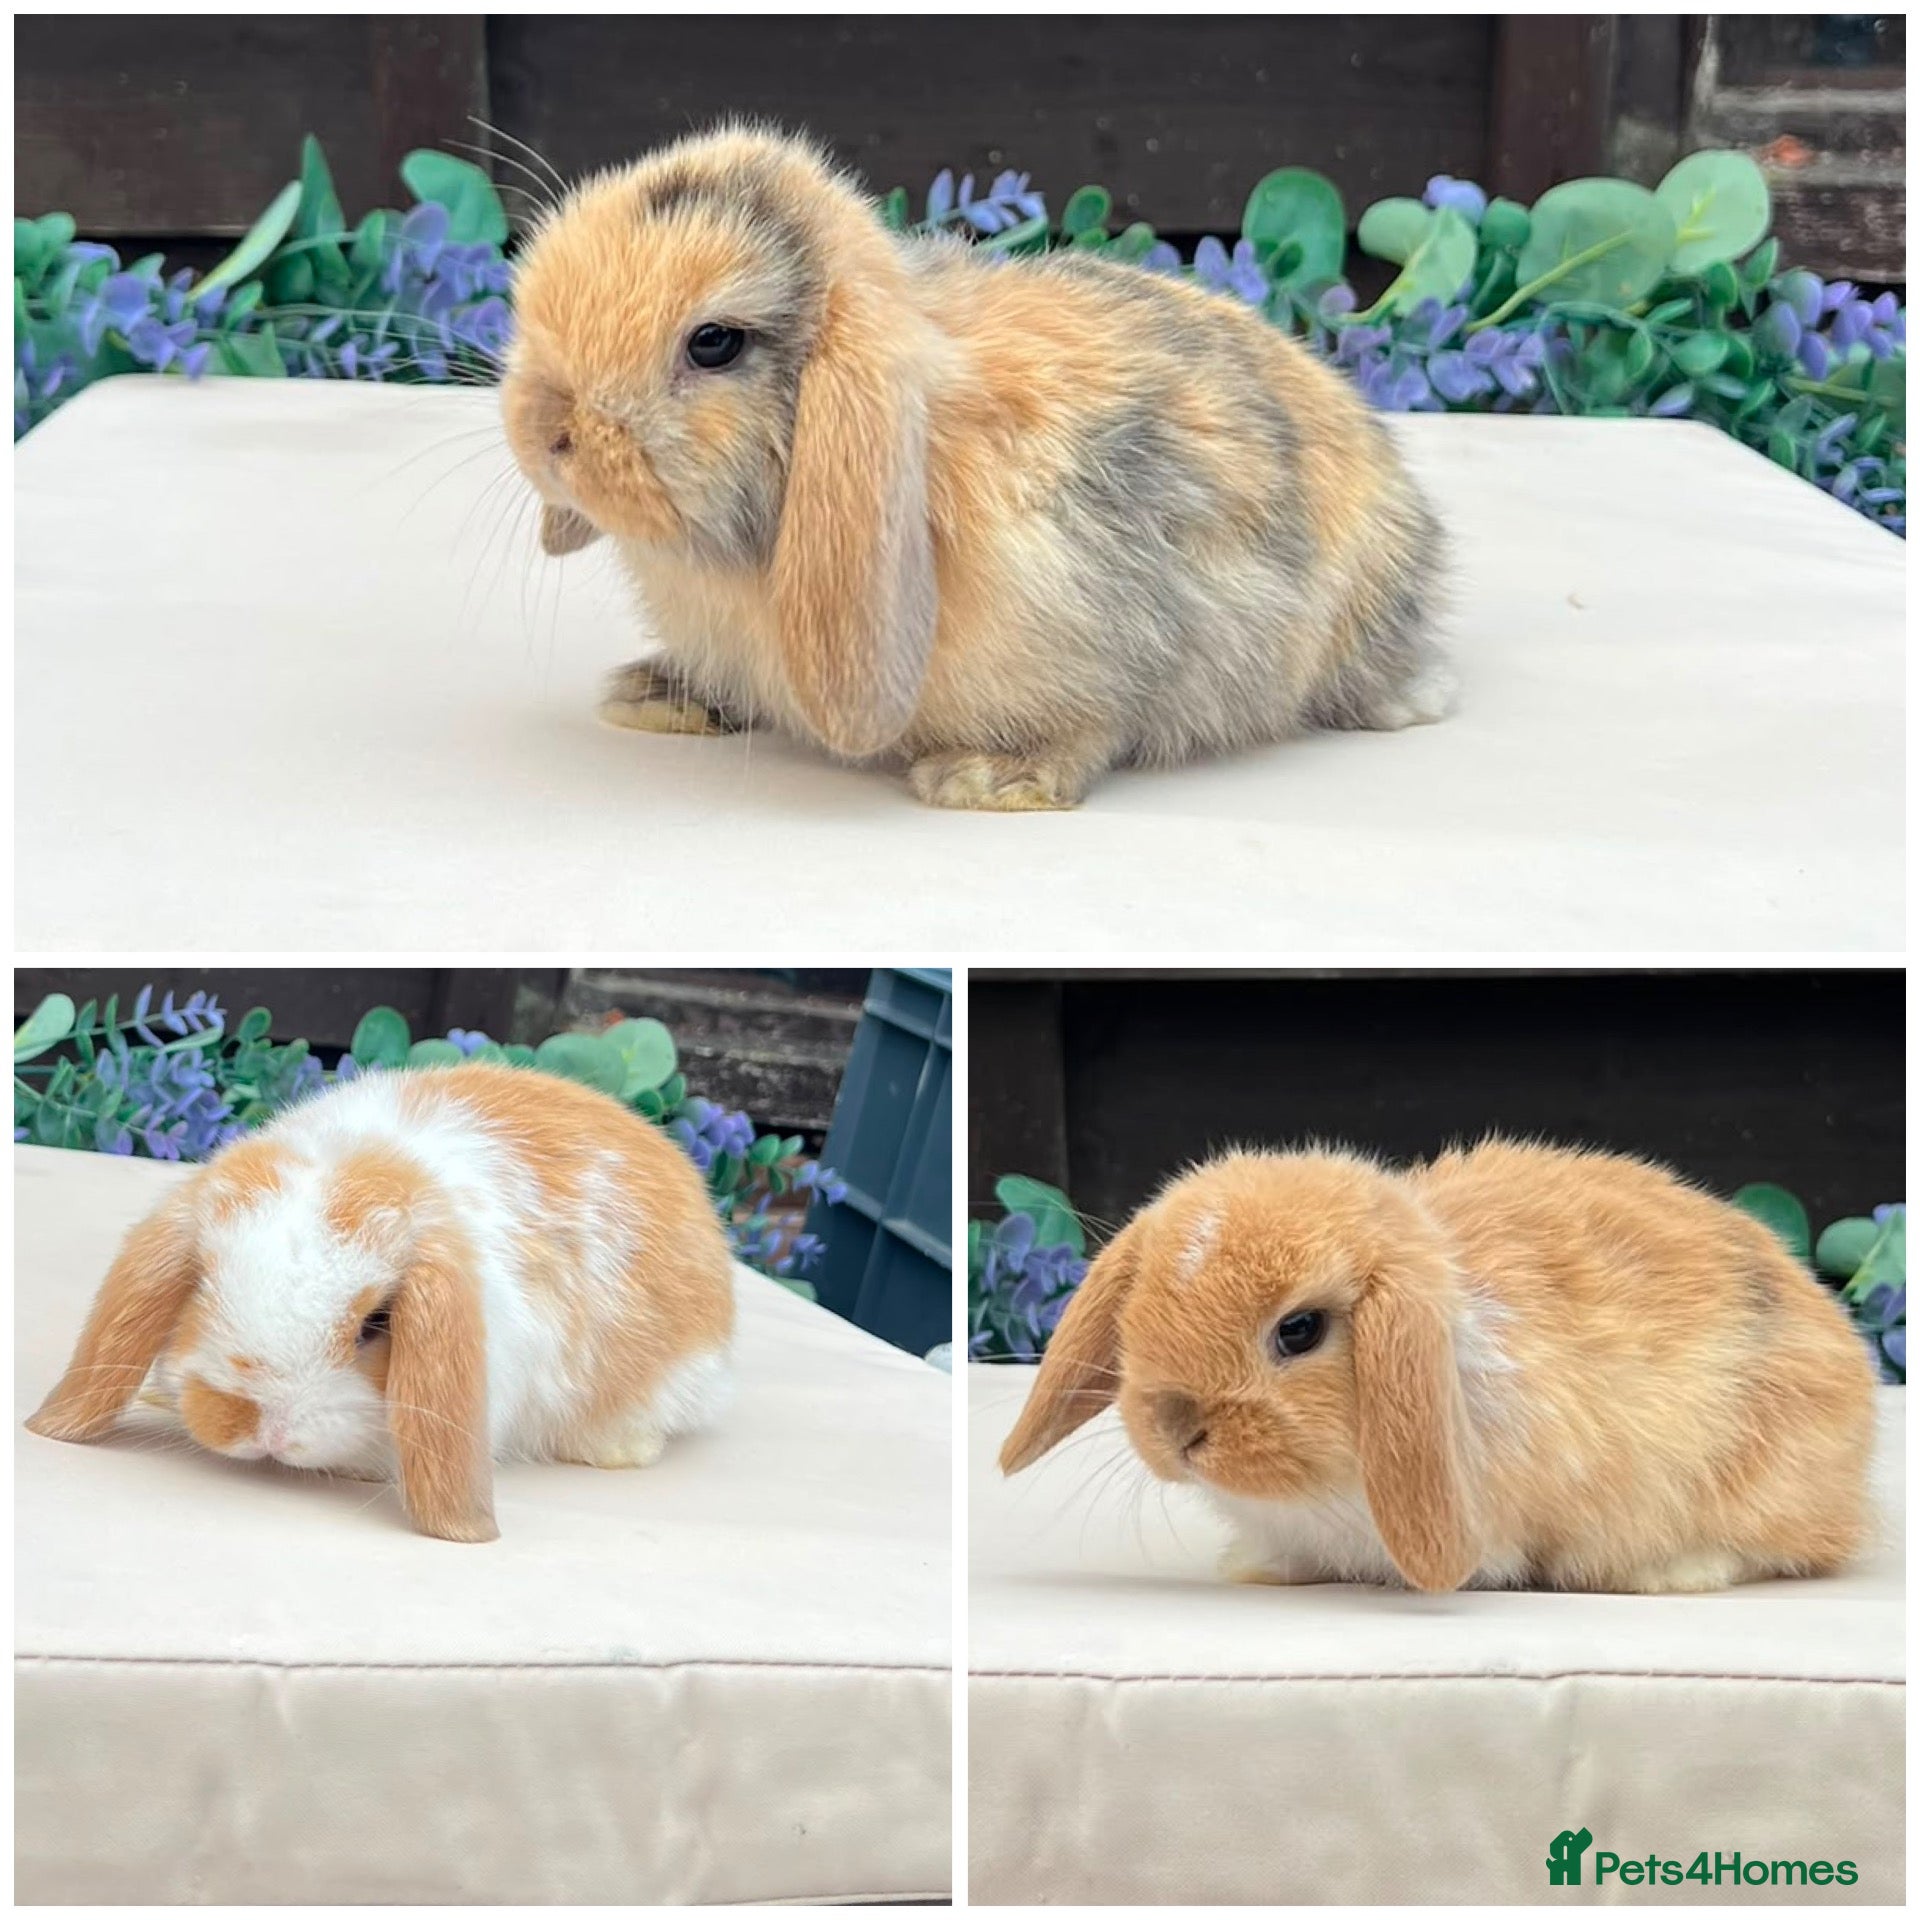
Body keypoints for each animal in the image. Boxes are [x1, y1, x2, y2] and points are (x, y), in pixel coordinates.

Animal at [500, 124, 1451, 811]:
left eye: (713, 343)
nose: (547, 429)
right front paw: (652, 694)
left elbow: (1089, 729)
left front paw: (989, 781)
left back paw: (1410, 704)